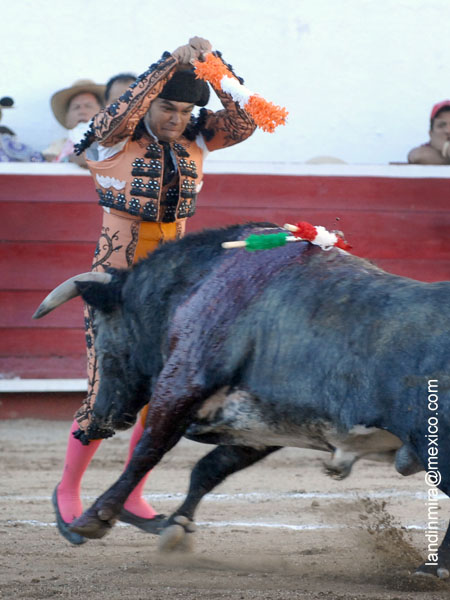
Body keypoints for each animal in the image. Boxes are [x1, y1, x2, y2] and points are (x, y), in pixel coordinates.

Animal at [33, 224, 450, 576]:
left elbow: (148, 451)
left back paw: (432, 569)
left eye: (101, 335)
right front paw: (177, 527)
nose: (103, 417)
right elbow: (209, 469)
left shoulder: (183, 381)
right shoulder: (260, 426)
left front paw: (95, 518)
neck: (196, 283)